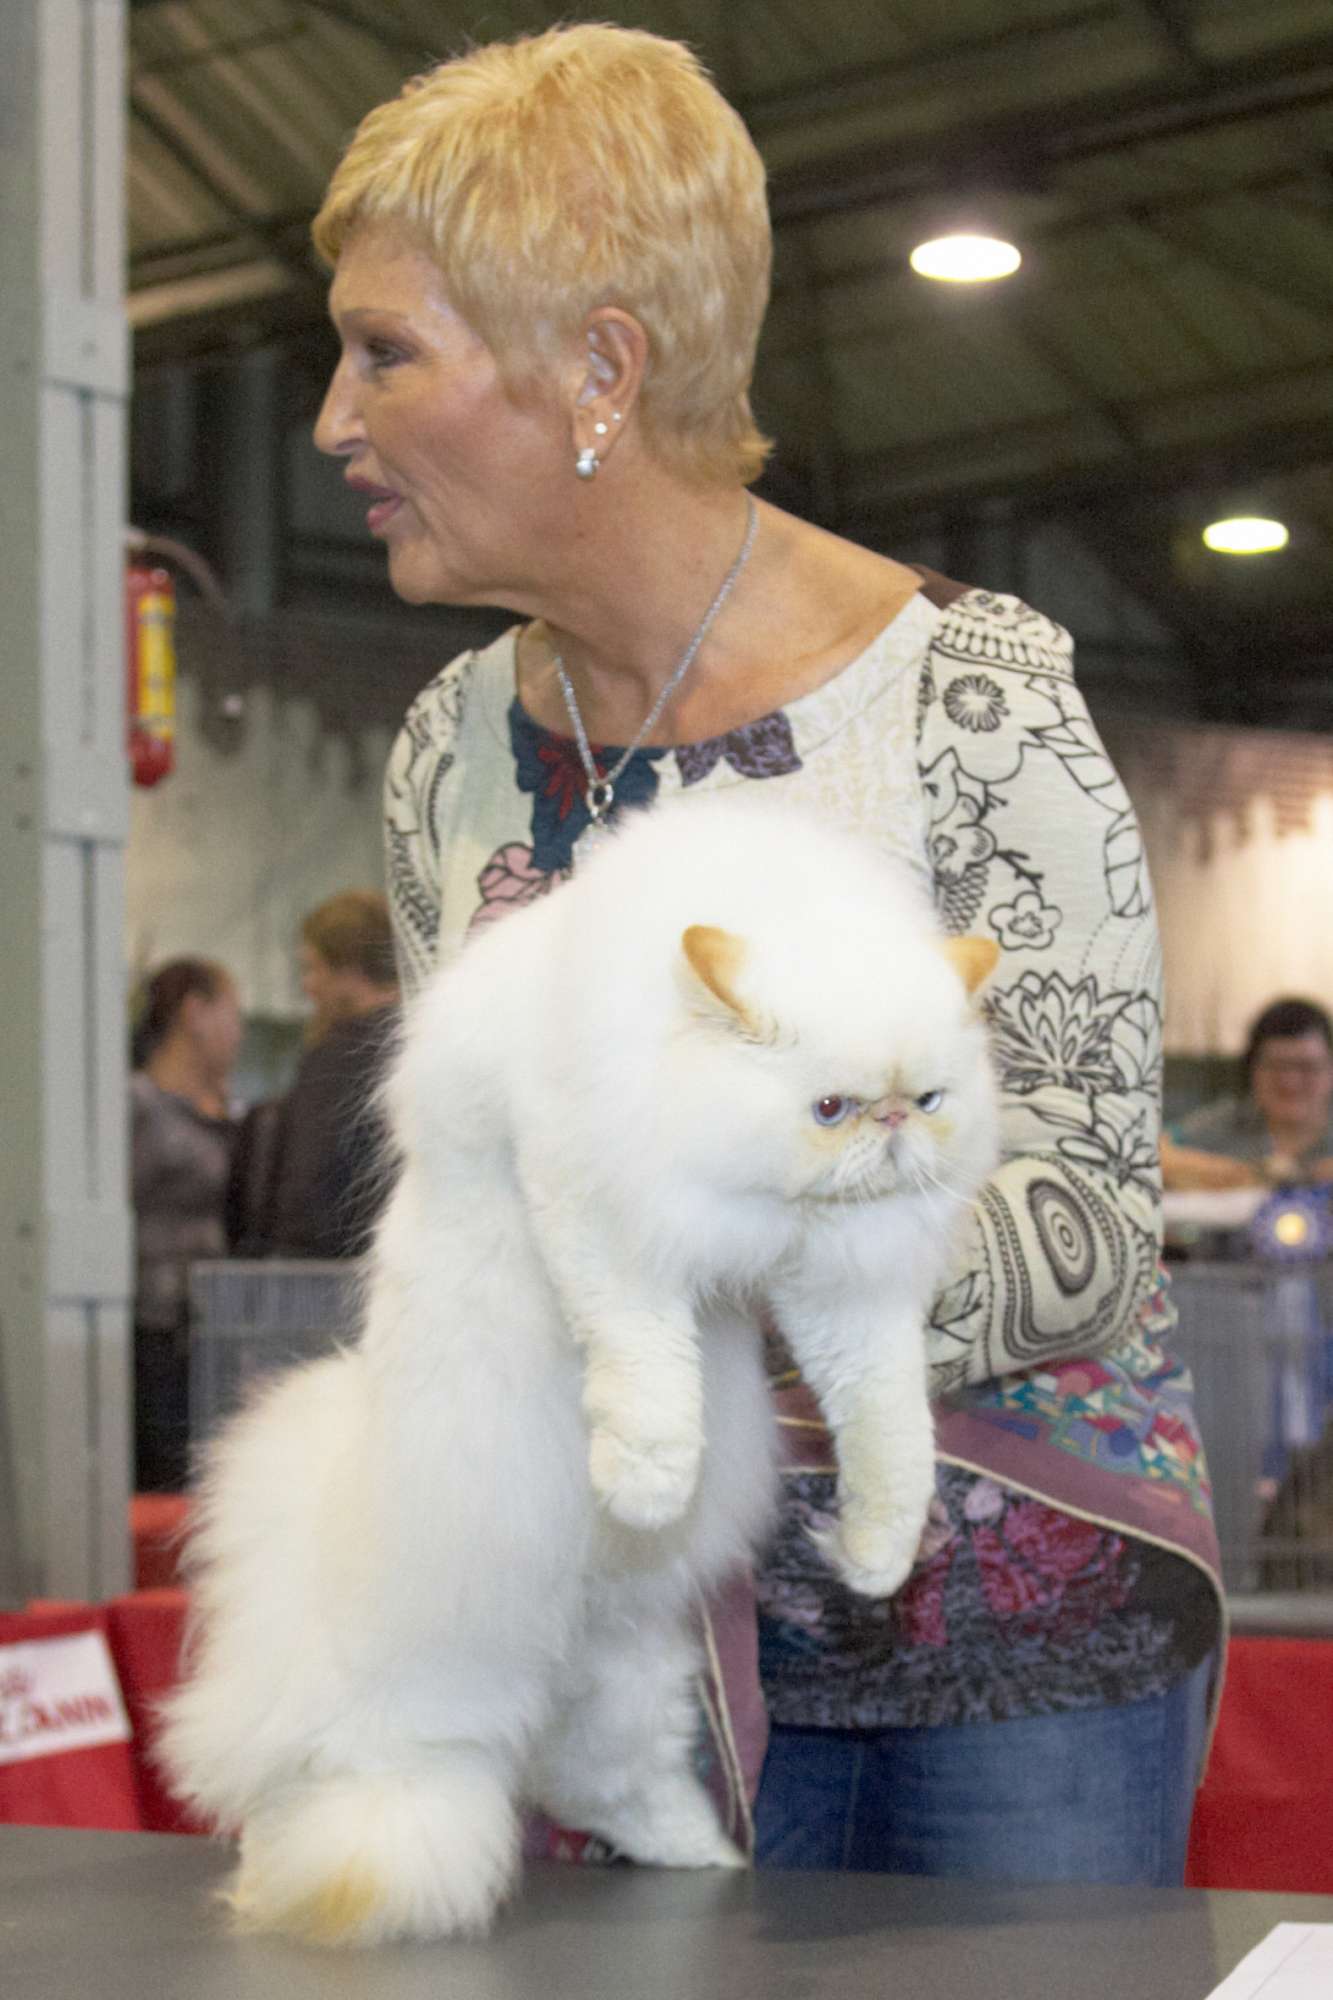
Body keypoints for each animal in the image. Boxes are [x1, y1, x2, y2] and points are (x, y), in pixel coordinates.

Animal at [158, 793, 999, 1946]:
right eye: (829, 1108)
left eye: (928, 1096)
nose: (893, 1128)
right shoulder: (599, 1215)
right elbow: (648, 1370)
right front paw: (646, 1481)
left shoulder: (849, 1304)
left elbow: (887, 1434)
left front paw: (875, 1560)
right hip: (427, 1683)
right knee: (347, 1779)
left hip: (631, 1673)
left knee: (601, 1779)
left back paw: (699, 1853)